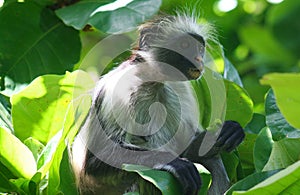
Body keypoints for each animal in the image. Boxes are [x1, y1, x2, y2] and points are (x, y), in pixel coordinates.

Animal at [71, 12, 245, 194]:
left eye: (200, 48)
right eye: (184, 45)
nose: (198, 59)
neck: (153, 83)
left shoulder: (179, 88)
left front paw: (228, 130)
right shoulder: (119, 90)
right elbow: (94, 162)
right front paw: (175, 163)